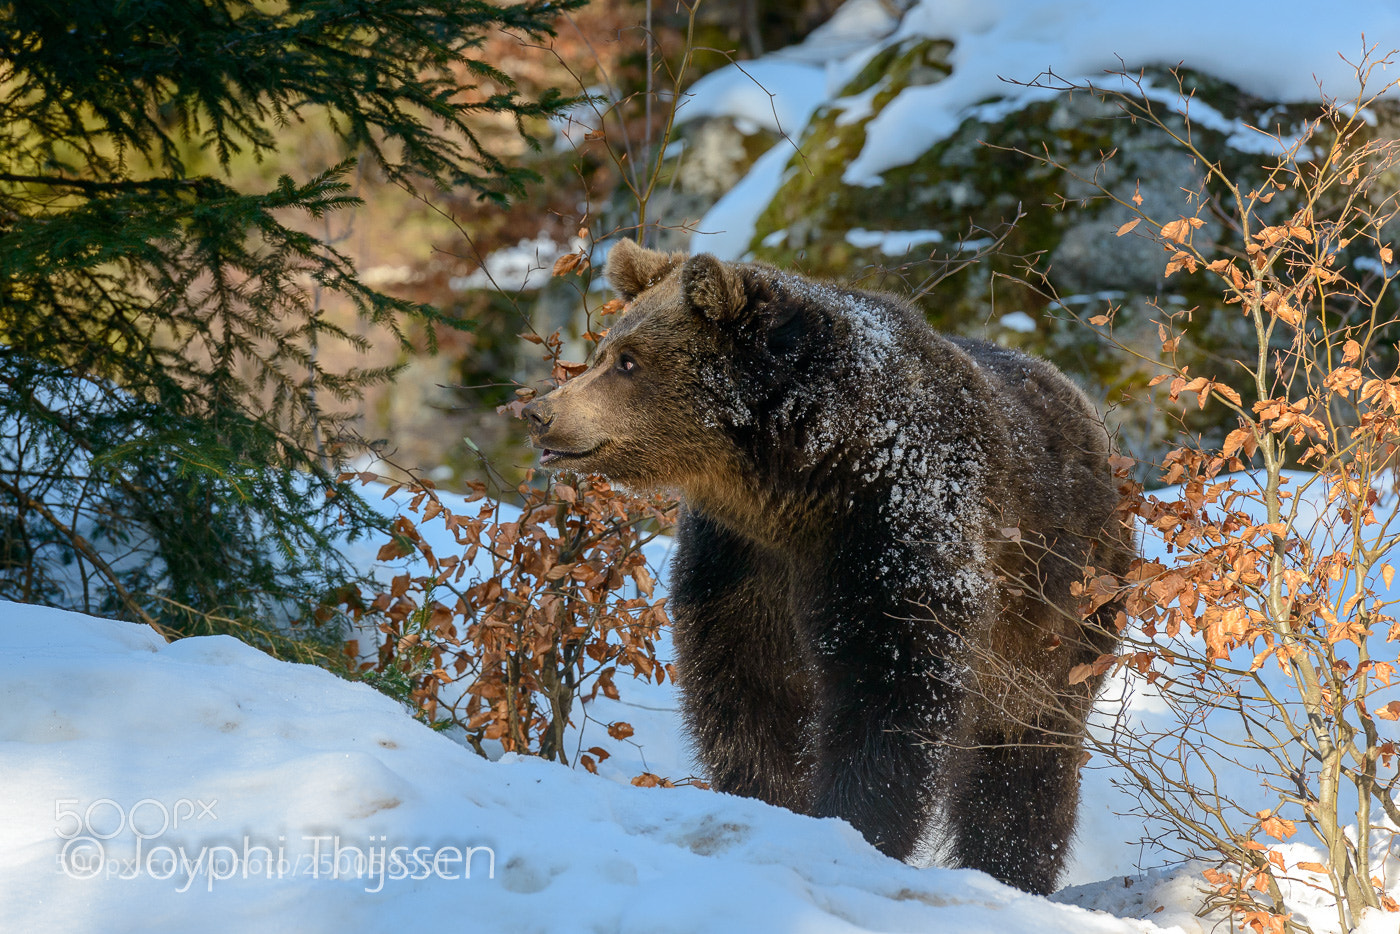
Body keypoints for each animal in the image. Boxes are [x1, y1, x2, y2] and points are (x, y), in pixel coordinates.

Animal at [522, 238, 1135, 895]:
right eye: (605, 351)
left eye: (629, 361)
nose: (540, 412)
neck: (806, 477)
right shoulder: (740, 560)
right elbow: (748, 690)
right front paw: (769, 799)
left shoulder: (896, 524)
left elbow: (889, 690)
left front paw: (855, 824)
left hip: (1065, 610)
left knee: (1028, 754)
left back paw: (1010, 870)